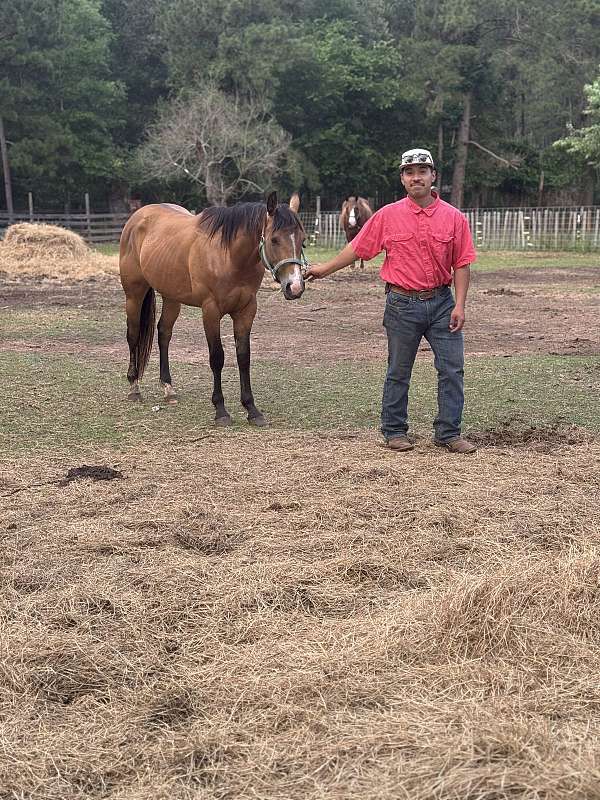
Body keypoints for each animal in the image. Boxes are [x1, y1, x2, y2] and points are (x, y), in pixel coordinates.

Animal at [119, 191, 306, 427]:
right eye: (274, 239)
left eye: (303, 241)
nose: (295, 287)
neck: (229, 256)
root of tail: (137, 217)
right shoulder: (211, 311)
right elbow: (217, 357)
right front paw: (221, 410)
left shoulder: (246, 310)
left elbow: (243, 357)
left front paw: (252, 410)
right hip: (134, 295)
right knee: (133, 335)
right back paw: (134, 386)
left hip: (172, 298)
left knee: (164, 334)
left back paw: (168, 388)